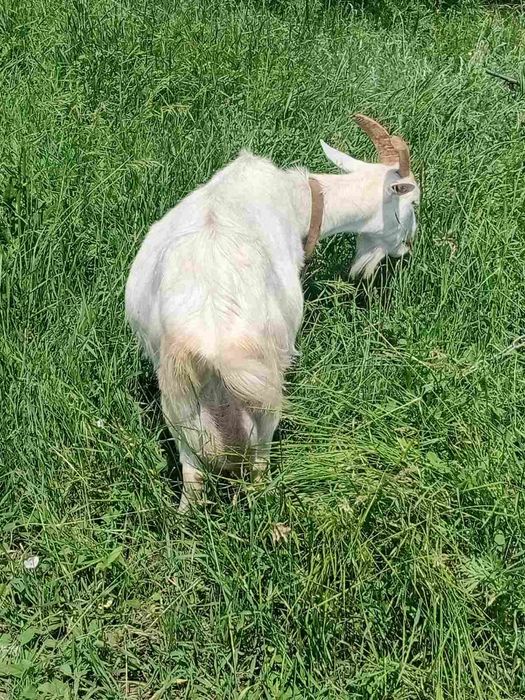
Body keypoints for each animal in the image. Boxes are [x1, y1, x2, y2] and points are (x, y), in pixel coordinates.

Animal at [125, 115, 420, 511]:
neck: (298, 201)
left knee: (193, 480)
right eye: (413, 203)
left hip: (179, 402)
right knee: (258, 468)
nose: (406, 249)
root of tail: (210, 335)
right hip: (263, 392)